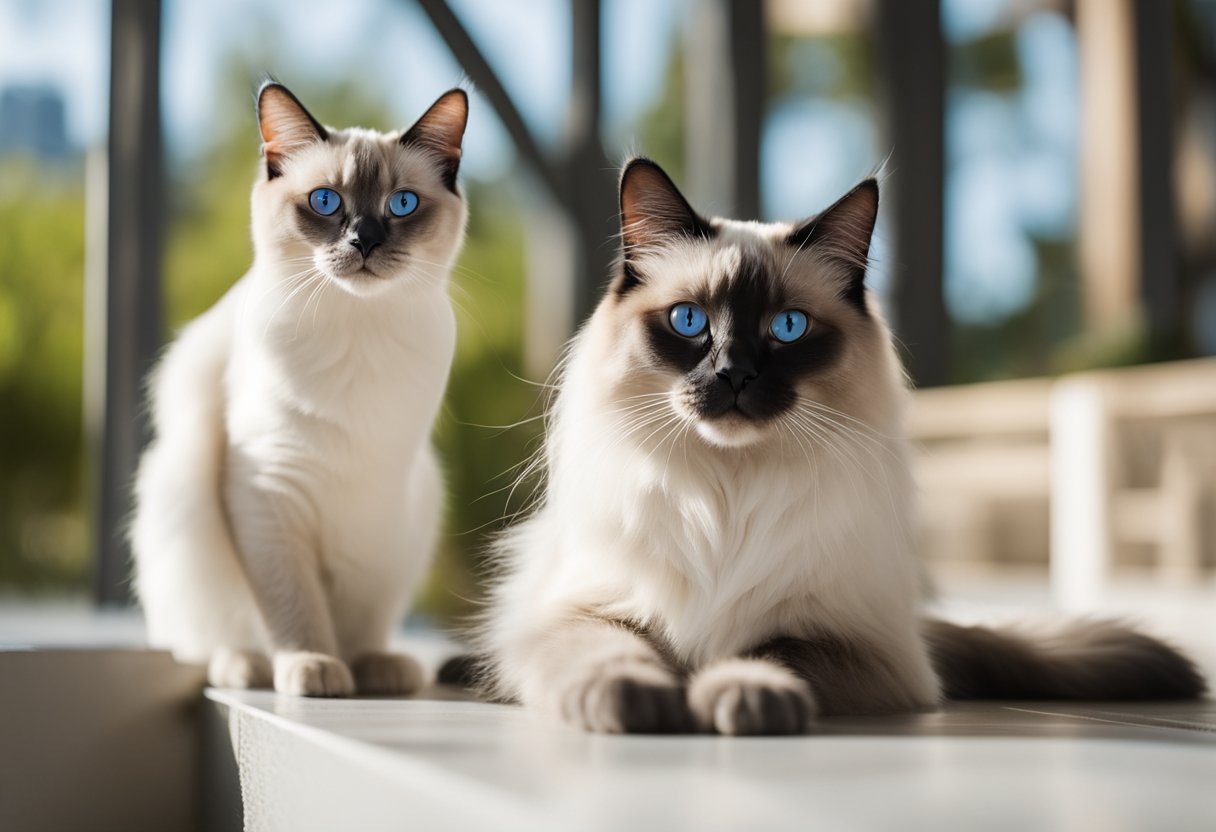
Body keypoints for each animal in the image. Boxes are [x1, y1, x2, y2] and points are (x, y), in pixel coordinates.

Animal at [130, 82, 466, 695]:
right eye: (326, 202)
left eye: (402, 205)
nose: (363, 240)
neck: (356, 334)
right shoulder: (269, 489)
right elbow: (294, 605)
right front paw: (315, 666)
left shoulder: (376, 499)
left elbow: (359, 612)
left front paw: (360, 667)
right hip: (177, 493)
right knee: (207, 640)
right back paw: (245, 666)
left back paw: (384, 667)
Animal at [469, 158, 1201, 734]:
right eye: (690, 321)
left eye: (788, 328)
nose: (734, 375)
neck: (727, 492)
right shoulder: (580, 614)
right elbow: (611, 655)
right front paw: (636, 703)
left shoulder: (845, 643)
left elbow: (767, 654)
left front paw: (741, 699)